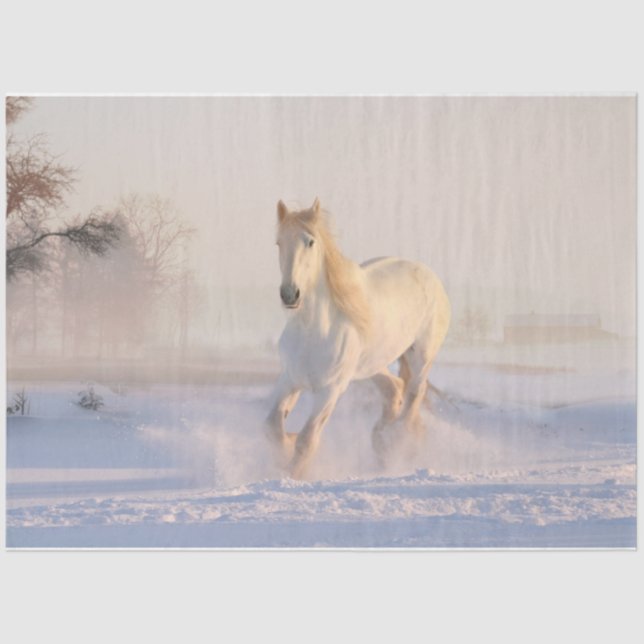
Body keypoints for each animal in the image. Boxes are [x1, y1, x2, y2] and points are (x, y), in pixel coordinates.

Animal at [265, 197, 450, 478]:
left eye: (310, 241)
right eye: (279, 242)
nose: (290, 294)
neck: (312, 331)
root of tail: (426, 273)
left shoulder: (330, 390)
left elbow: (307, 439)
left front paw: (292, 474)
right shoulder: (290, 379)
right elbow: (273, 426)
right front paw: (285, 450)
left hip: (421, 356)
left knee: (414, 395)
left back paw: (395, 443)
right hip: (371, 365)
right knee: (394, 389)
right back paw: (381, 443)